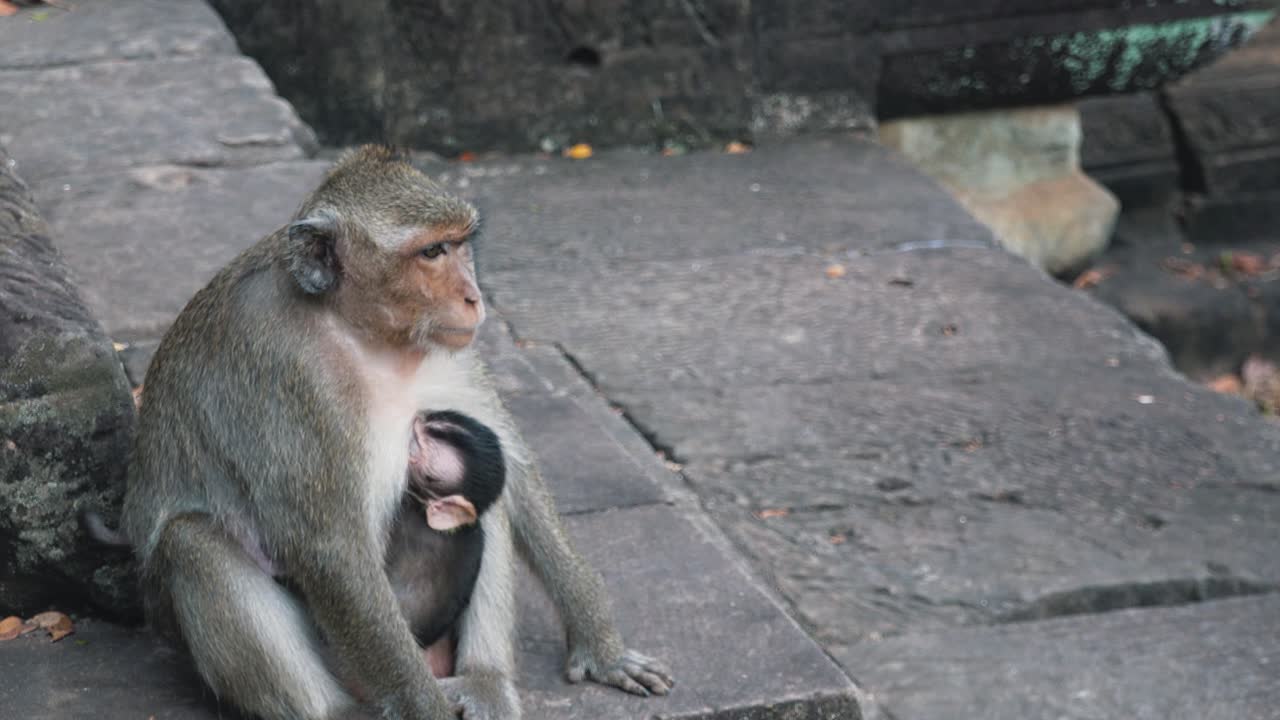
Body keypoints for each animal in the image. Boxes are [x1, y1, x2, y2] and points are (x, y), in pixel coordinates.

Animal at [118, 145, 673, 720]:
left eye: (460, 244)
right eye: (431, 252)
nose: (474, 298)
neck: (365, 334)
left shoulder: (452, 355)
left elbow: (512, 469)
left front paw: (602, 646)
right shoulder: (286, 372)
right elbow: (331, 549)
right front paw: (427, 711)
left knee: (488, 500)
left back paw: (485, 681)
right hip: (345, 657)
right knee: (193, 542)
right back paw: (337, 713)